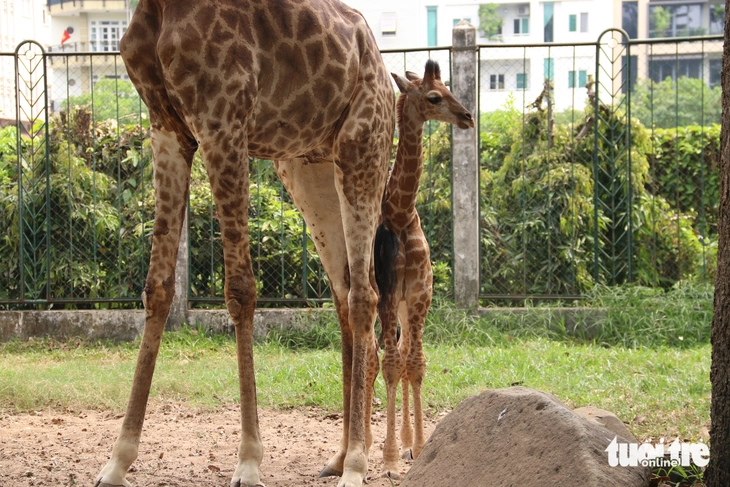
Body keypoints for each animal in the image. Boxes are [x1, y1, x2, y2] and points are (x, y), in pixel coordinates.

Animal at [95, 0, 392, 487]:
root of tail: (384, 72)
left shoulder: (223, 122)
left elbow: (240, 289)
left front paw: (249, 460)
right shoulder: (167, 127)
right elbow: (157, 287)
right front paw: (117, 461)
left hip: (363, 148)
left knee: (365, 295)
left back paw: (356, 464)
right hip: (307, 169)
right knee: (345, 294)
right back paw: (342, 454)